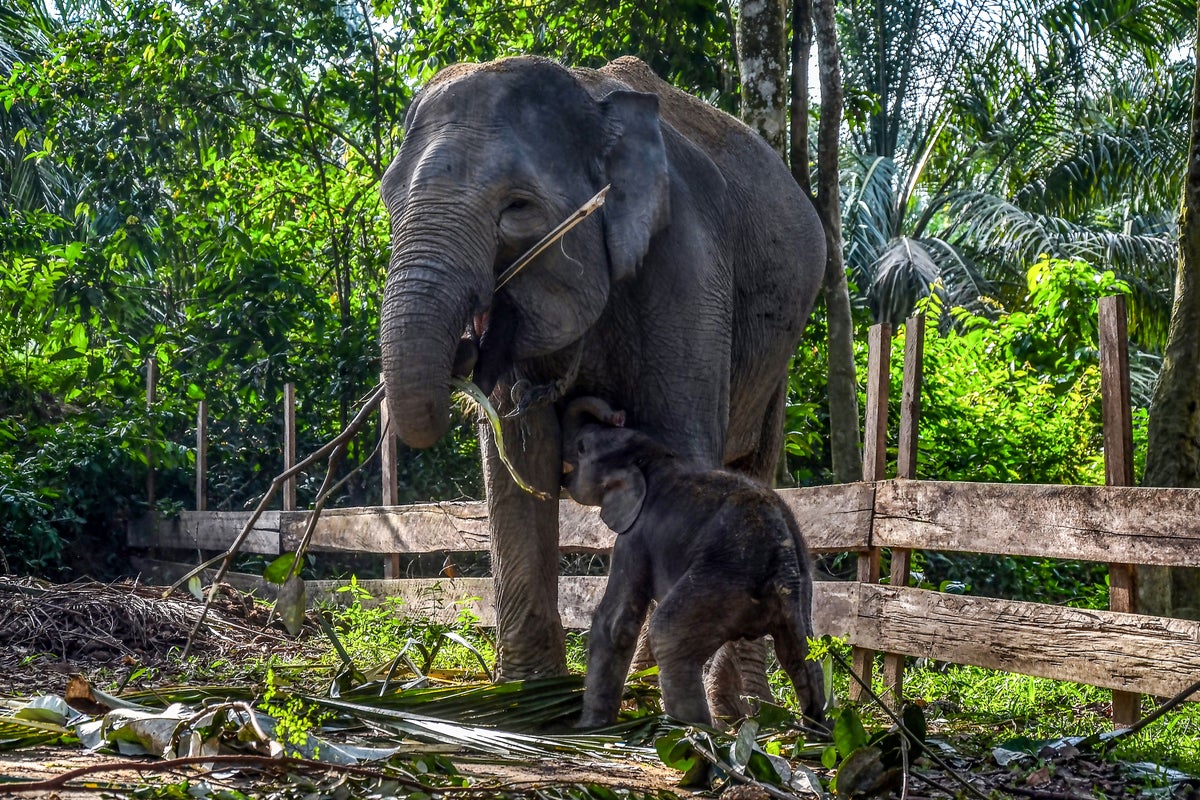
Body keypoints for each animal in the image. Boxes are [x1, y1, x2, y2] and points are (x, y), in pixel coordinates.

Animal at [561, 397, 828, 729]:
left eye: (582, 448)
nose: (617, 414)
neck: (655, 457)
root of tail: (783, 560)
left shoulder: (635, 537)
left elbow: (616, 622)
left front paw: (587, 729)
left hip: (719, 581)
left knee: (667, 635)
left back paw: (689, 732)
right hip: (798, 591)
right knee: (800, 654)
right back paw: (818, 733)